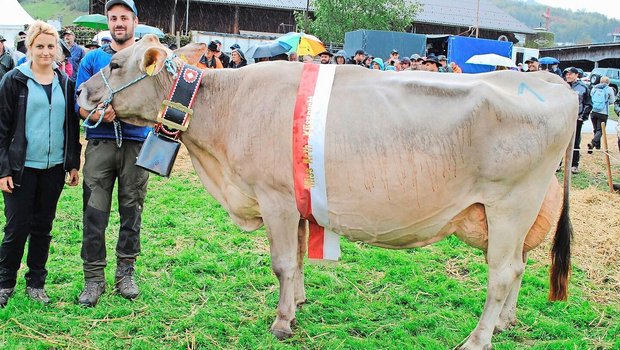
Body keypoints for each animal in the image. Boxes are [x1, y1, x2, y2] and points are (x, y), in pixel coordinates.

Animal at [77, 34, 576, 348]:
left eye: (115, 64)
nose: (81, 92)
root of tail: (553, 83)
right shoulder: (298, 199)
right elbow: (298, 258)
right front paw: (298, 303)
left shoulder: (275, 196)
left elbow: (281, 263)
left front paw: (282, 323)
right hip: (512, 214)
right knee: (519, 266)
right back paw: (506, 323)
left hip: (510, 203)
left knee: (502, 273)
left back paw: (477, 339)